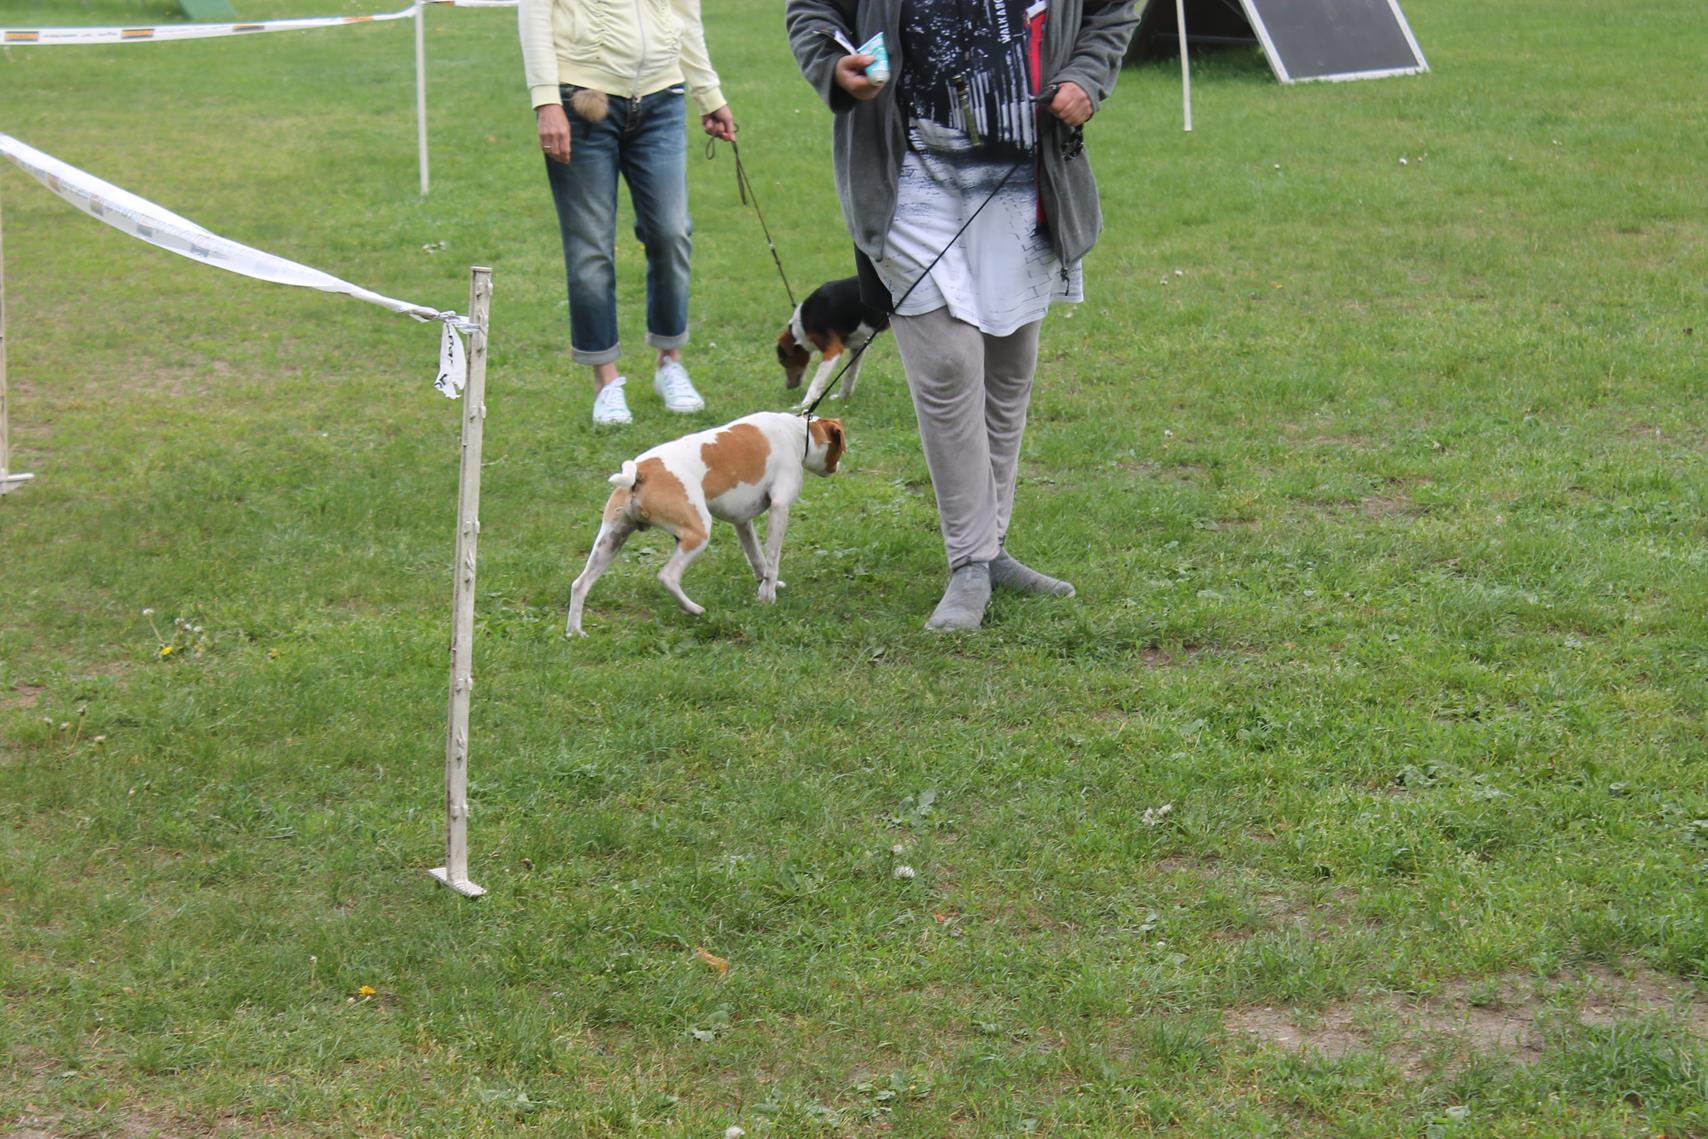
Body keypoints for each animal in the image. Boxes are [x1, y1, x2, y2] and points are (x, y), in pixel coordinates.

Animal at [567, 411, 847, 642]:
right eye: (841, 449)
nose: (838, 467)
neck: (798, 432)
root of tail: (641, 472)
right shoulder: (780, 508)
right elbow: (773, 560)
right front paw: (768, 596)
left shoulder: (742, 521)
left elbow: (758, 558)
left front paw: (765, 584)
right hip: (697, 534)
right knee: (667, 576)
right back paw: (693, 609)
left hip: (610, 541)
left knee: (580, 584)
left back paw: (574, 632)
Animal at [772, 276, 888, 409]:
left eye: (782, 362)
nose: (788, 386)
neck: (803, 323)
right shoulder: (857, 347)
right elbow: (849, 376)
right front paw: (842, 397)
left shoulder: (833, 349)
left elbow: (816, 382)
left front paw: (805, 405)